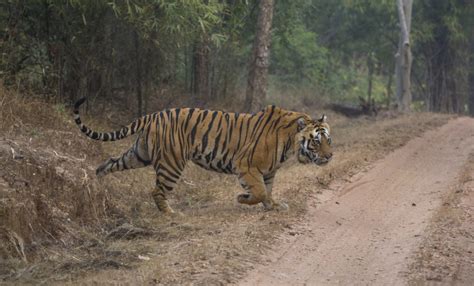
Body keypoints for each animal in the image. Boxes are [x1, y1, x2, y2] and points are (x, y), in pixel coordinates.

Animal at [74, 97, 334, 213]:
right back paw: (171, 213)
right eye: (316, 141)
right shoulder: (246, 166)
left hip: (139, 154)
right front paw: (243, 199)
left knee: (110, 162)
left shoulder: (268, 171)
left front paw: (273, 206)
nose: (330, 156)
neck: (291, 142)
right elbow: (259, 191)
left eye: (328, 140)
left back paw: (97, 181)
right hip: (172, 163)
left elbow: (267, 191)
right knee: (157, 190)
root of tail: (155, 114)